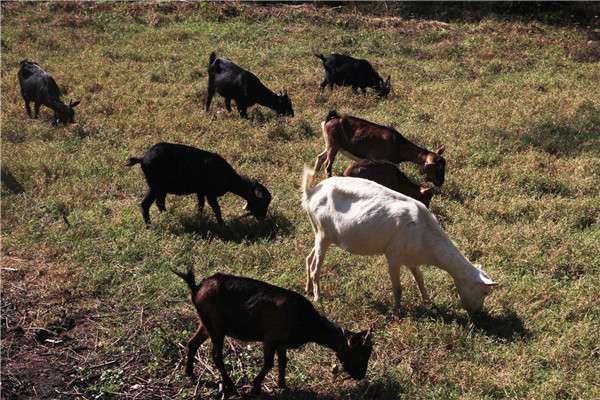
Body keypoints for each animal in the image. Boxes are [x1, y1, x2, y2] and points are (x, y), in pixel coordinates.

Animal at [126, 143, 272, 225]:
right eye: (262, 203)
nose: (262, 218)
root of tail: (142, 159)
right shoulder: (210, 193)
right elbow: (216, 208)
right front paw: (222, 225)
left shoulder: (200, 191)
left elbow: (200, 206)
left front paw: (200, 219)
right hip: (155, 186)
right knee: (145, 205)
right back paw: (149, 226)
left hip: (161, 188)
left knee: (159, 202)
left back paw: (169, 216)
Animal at [173, 268, 372, 396]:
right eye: (360, 356)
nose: (360, 375)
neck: (307, 321)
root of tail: (196, 288)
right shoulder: (270, 338)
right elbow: (269, 363)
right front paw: (255, 387)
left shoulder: (282, 343)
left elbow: (283, 362)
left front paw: (283, 385)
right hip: (217, 326)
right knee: (216, 355)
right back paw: (231, 386)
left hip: (206, 323)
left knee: (192, 343)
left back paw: (189, 373)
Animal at [300, 166, 496, 316]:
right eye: (486, 291)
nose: (477, 313)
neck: (424, 232)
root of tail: (311, 193)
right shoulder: (394, 257)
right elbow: (398, 287)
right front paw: (398, 311)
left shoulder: (411, 258)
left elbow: (420, 279)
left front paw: (428, 302)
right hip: (323, 233)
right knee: (316, 267)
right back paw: (318, 297)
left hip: (321, 232)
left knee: (309, 259)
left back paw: (308, 288)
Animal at [314, 111, 446, 187]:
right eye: (436, 168)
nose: (440, 182)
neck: (398, 145)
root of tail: (329, 120)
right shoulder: (378, 159)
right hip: (333, 144)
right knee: (327, 165)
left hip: (332, 145)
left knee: (320, 157)